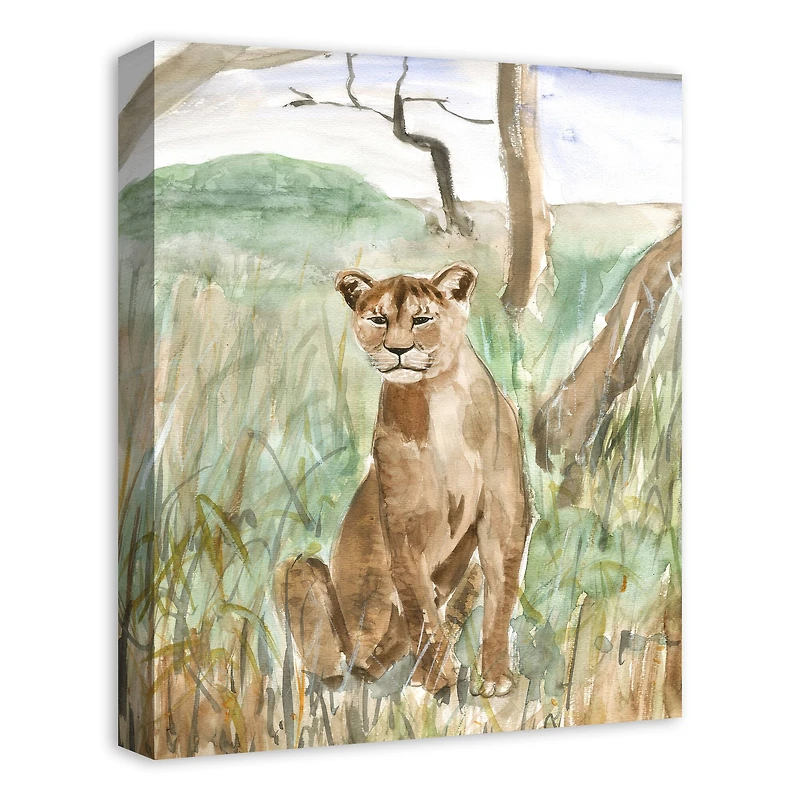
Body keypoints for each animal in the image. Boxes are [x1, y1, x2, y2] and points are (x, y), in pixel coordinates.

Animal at [274, 262, 531, 699]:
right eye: (378, 319)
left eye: (422, 319)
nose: (397, 350)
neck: (438, 395)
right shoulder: (403, 526)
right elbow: (419, 608)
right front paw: (438, 679)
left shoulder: (504, 515)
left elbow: (500, 597)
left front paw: (495, 677)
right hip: (297, 569)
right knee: (343, 658)